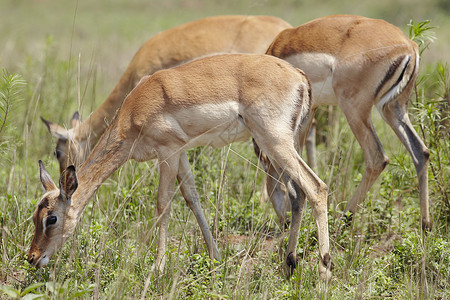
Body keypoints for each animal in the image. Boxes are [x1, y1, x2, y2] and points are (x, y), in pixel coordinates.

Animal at [28, 54, 332, 282]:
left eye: (51, 218)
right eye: (34, 216)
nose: (32, 257)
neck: (134, 111)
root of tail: (298, 75)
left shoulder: (168, 152)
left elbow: (163, 203)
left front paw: (158, 266)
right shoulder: (182, 153)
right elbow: (192, 198)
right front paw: (215, 258)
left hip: (274, 142)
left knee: (317, 187)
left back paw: (324, 271)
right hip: (277, 146)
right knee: (297, 194)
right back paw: (289, 264)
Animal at [264, 13, 432, 230]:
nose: (283, 221)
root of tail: (409, 46)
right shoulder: (310, 111)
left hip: (354, 110)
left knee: (377, 158)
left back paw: (344, 219)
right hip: (392, 109)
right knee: (421, 151)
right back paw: (426, 225)